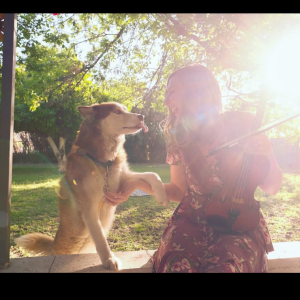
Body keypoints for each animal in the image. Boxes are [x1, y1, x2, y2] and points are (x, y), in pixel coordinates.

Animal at [15, 102, 170, 270]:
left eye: (125, 109)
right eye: (117, 112)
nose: (142, 116)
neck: (104, 162)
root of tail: (54, 244)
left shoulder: (123, 180)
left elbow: (153, 174)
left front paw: (162, 196)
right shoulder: (89, 207)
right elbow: (100, 236)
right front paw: (109, 259)